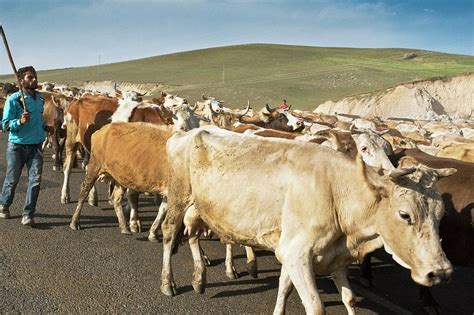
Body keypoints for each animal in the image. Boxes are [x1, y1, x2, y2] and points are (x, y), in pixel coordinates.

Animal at [162, 126, 456, 315]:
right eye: (405, 214)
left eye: (441, 214)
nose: (440, 272)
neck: (336, 190)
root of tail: (186, 132)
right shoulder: (296, 253)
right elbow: (315, 307)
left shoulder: (319, 254)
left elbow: (342, 297)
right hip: (178, 196)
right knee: (169, 232)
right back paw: (169, 284)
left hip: (199, 208)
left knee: (193, 235)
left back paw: (200, 278)